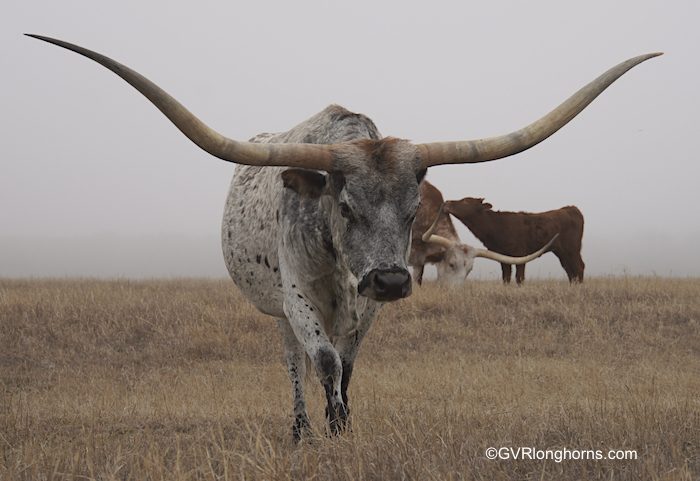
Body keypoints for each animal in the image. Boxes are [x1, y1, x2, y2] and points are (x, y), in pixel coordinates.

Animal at [446, 196, 588, 284]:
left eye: (465, 201)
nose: (447, 202)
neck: (496, 226)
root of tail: (571, 208)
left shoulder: (520, 253)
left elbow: (519, 277)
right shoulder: (502, 255)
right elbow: (506, 277)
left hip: (572, 248)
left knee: (578, 267)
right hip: (561, 251)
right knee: (570, 269)